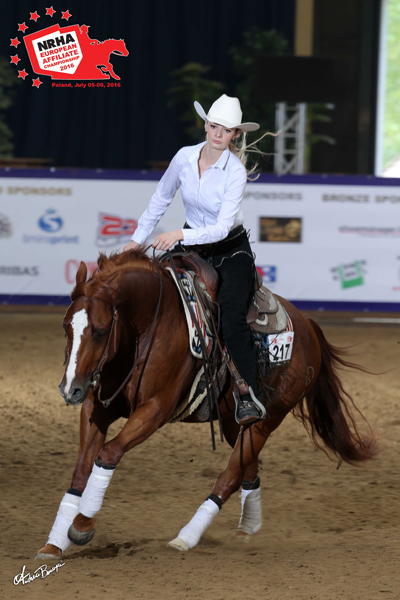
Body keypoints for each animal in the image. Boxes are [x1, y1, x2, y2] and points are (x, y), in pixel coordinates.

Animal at [36, 249, 376, 559]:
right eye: (66, 326)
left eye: (100, 331)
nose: (70, 389)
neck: (149, 326)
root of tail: (307, 324)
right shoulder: (97, 410)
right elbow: (80, 471)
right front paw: (54, 544)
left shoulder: (154, 410)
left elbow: (108, 454)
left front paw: (81, 525)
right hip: (235, 423)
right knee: (247, 468)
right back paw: (246, 529)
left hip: (268, 418)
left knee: (229, 475)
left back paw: (186, 537)